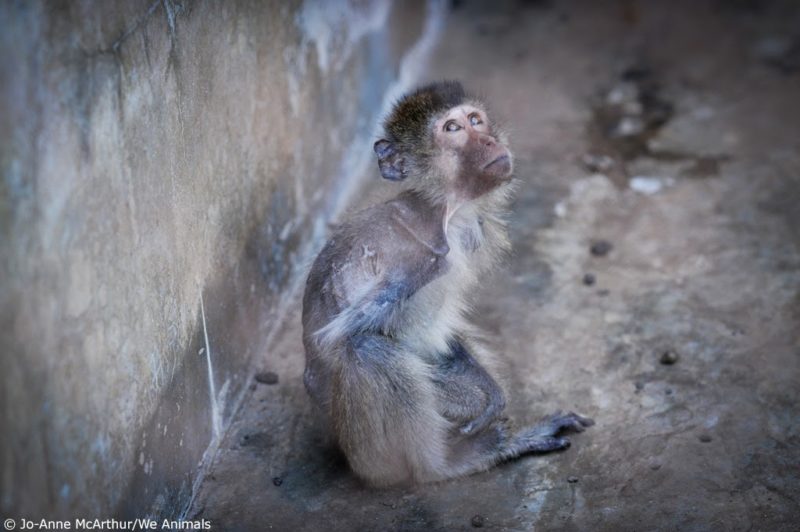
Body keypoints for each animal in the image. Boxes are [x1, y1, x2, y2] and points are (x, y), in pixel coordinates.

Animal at [302, 80, 592, 486]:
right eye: (452, 129)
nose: (488, 140)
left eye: (476, 120)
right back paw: (444, 466)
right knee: (367, 350)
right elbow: (339, 339)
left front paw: (492, 392)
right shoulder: (416, 258)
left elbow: (444, 332)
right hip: (363, 451)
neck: (447, 213)